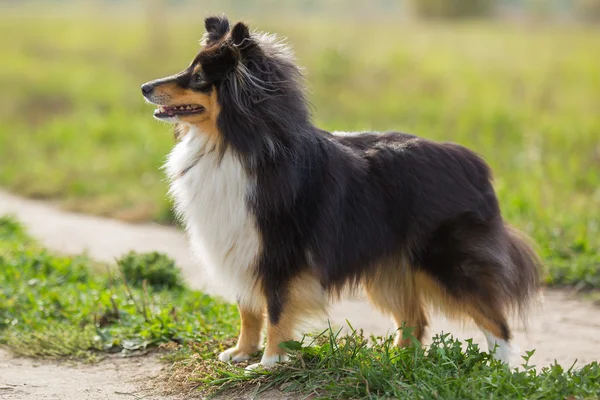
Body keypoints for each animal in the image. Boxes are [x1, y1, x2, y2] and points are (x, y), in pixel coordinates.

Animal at [143, 16, 540, 372]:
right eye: (188, 68)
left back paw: (498, 372)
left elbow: (276, 308)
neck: (232, 144)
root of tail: (475, 164)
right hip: (391, 268)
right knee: (415, 320)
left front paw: (268, 363)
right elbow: (248, 308)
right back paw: (396, 363)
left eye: (198, 77)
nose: (145, 87)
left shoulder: (279, 251)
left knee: (495, 320)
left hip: (446, 261)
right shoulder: (240, 244)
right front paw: (240, 353)